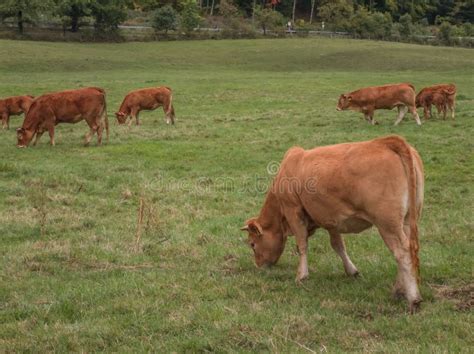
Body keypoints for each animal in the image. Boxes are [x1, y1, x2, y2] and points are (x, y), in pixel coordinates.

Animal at [243, 135, 424, 312]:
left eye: (252, 244)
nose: (258, 265)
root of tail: (387, 142)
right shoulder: (331, 219)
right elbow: (338, 245)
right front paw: (351, 271)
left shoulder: (293, 210)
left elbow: (302, 244)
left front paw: (301, 275)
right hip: (406, 220)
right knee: (409, 249)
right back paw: (399, 291)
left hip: (387, 224)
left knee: (402, 252)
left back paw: (413, 298)